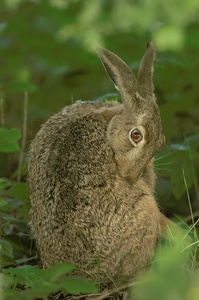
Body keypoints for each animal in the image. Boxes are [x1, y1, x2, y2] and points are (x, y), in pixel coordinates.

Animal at [27, 42, 168, 288]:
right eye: (136, 136)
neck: (111, 123)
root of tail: (81, 276)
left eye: (162, 143)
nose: (131, 178)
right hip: (145, 213)